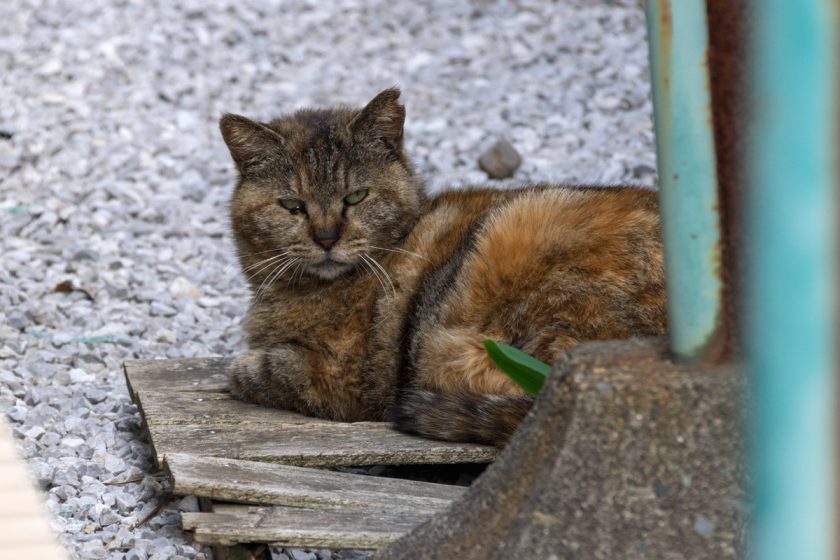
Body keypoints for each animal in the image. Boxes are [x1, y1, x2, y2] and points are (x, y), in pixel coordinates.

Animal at [220, 87, 668, 446]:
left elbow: (259, 369)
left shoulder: (337, 378)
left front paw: (244, 368)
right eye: (291, 206)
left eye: (356, 197)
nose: (326, 238)